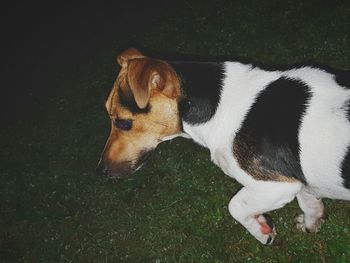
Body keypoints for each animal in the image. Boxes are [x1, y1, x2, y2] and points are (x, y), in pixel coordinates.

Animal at [96, 48, 350, 245]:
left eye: (123, 123)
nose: (100, 171)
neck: (220, 105)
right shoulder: (298, 179)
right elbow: (308, 198)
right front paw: (311, 222)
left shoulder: (275, 186)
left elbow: (235, 206)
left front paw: (261, 231)